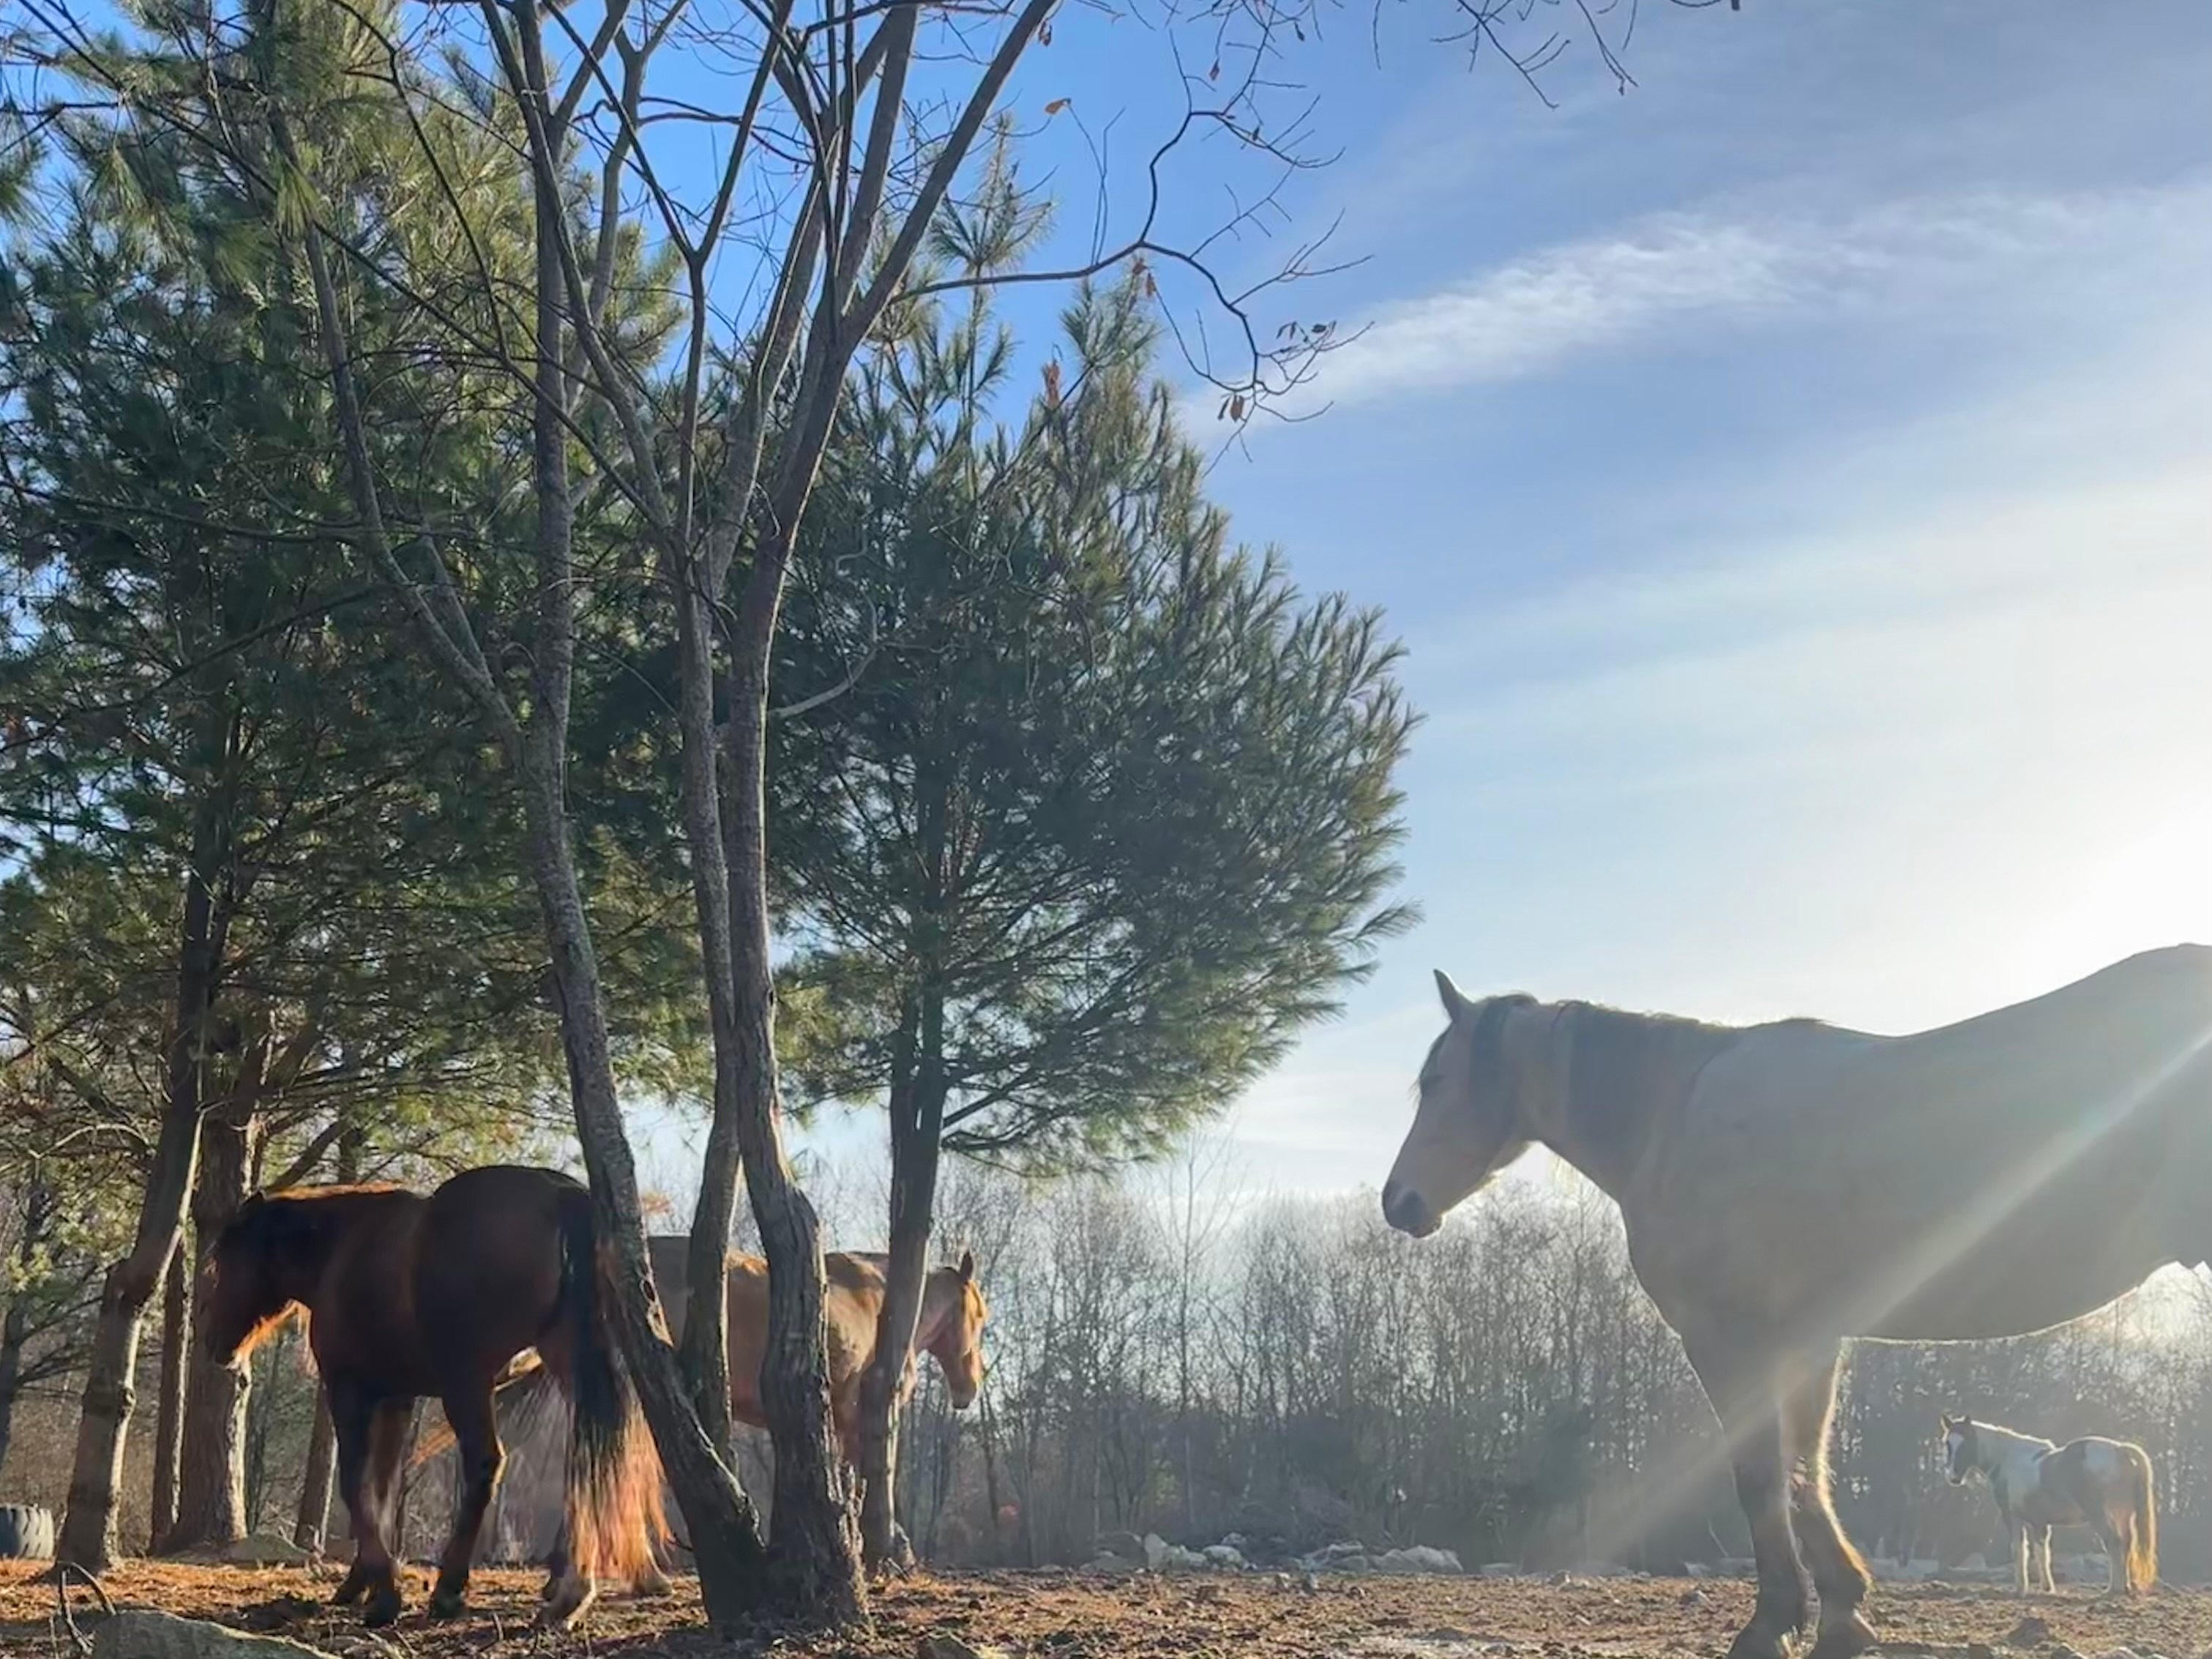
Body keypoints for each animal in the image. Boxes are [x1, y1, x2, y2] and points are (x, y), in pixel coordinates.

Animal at [203, 1165, 664, 1629]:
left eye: (222, 1262)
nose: (216, 1346)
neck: (343, 1250)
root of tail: (561, 1197)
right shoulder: (396, 1399)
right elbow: (382, 1490)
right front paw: (362, 1584)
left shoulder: (350, 1390)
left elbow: (355, 1485)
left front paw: (385, 1594)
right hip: (569, 1366)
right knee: (592, 1464)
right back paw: (572, 1593)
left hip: (467, 1386)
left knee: (486, 1465)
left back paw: (450, 1590)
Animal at [1941, 1413, 2156, 1596]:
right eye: (1948, 1444)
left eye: (1967, 1443)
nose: (1953, 1478)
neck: (2009, 1461)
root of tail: (2120, 1450)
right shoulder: (2040, 1522)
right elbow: (2042, 1552)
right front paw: (2047, 1587)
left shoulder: (2012, 1517)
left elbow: (2020, 1550)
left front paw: (2021, 1589)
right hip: (2122, 1514)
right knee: (2126, 1543)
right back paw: (2125, 1587)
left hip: (2102, 1516)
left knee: (2114, 1543)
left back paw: (2114, 1588)